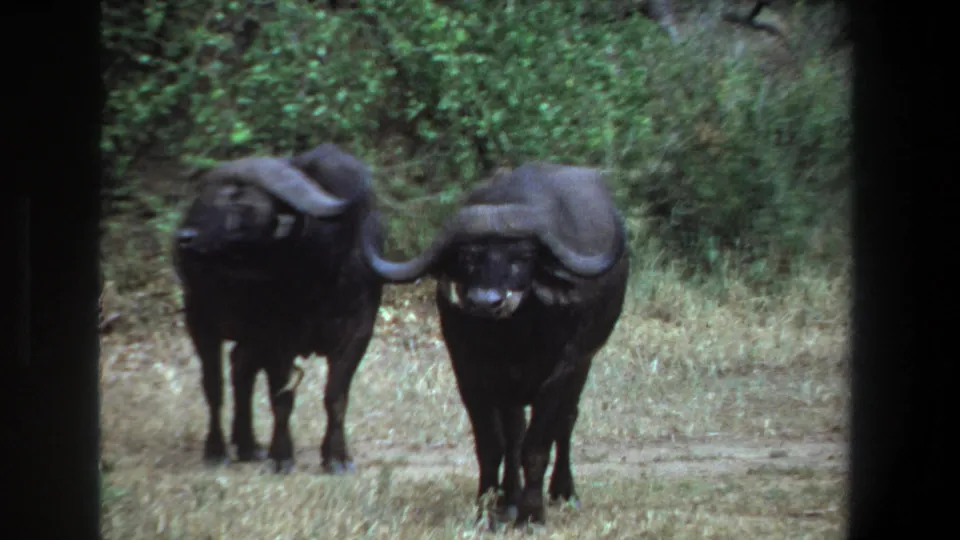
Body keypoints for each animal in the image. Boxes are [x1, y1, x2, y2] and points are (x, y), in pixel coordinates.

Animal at [173, 144, 384, 474]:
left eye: (238, 197)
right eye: (207, 195)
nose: (185, 237)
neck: (325, 269)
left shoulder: (359, 330)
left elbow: (336, 396)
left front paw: (337, 457)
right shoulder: (279, 336)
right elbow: (281, 398)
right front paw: (282, 456)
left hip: (248, 334)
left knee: (241, 368)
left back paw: (247, 444)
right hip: (201, 319)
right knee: (214, 386)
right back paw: (217, 450)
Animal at [360, 163, 630, 525]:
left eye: (523, 257)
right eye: (467, 257)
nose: (486, 302)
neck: (513, 338)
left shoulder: (563, 371)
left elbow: (537, 445)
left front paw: (532, 514)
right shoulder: (469, 372)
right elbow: (493, 444)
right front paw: (488, 507)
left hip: (583, 365)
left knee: (567, 421)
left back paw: (563, 492)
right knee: (515, 434)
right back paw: (509, 500)